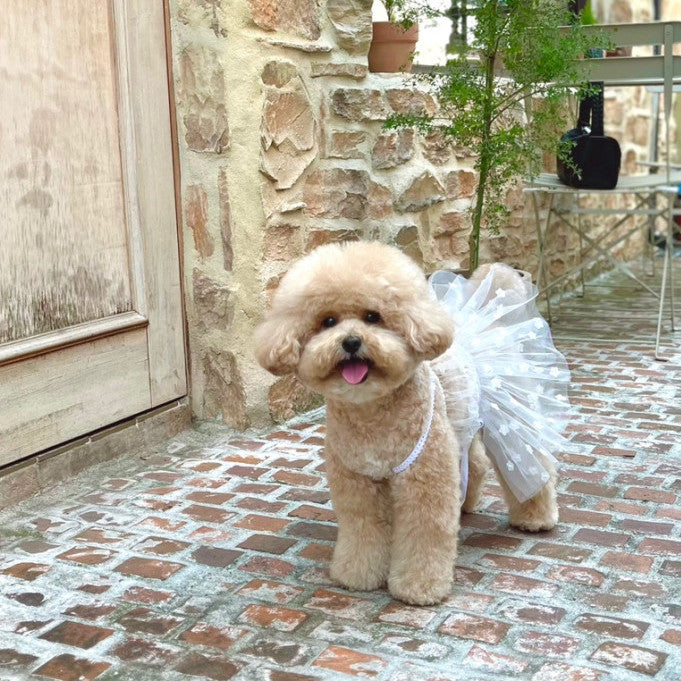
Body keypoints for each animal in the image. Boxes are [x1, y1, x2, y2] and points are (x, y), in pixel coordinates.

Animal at [252, 242, 556, 604]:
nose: (351, 341)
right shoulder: (357, 482)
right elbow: (363, 529)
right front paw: (357, 575)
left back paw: (536, 517)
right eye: (328, 321)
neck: (371, 413)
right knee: (477, 463)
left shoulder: (424, 478)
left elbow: (426, 532)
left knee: (532, 468)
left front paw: (419, 586)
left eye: (373, 316)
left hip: (511, 423)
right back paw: (467, 504)